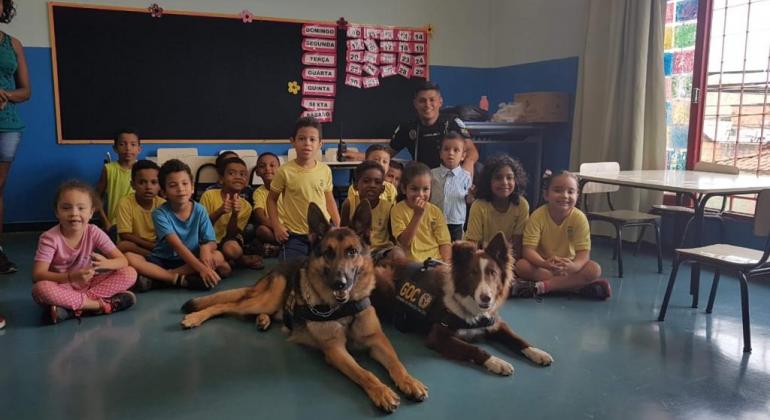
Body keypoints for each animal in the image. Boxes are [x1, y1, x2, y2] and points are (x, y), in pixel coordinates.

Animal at [183, 202, 428, 412]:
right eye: (328, 252)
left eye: (352, 252)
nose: (340, 283)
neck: (344, 309)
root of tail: (277, 267)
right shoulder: (335, 350)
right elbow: (364, 373)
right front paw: (381, 391)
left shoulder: (377, 339)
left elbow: (396, 363)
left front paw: (410, 381)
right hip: (264, 299)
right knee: (226, 304)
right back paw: (196, 317)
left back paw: (263, 320)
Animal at [372, 235, 552, 376]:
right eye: (472, 273)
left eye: (493, 273)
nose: (486, 298)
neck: (472, 309)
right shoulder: (437, 336)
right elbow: (473, 349)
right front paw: (497, 362)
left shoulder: (496, 324)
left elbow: (517, 339)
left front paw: (537, 352)